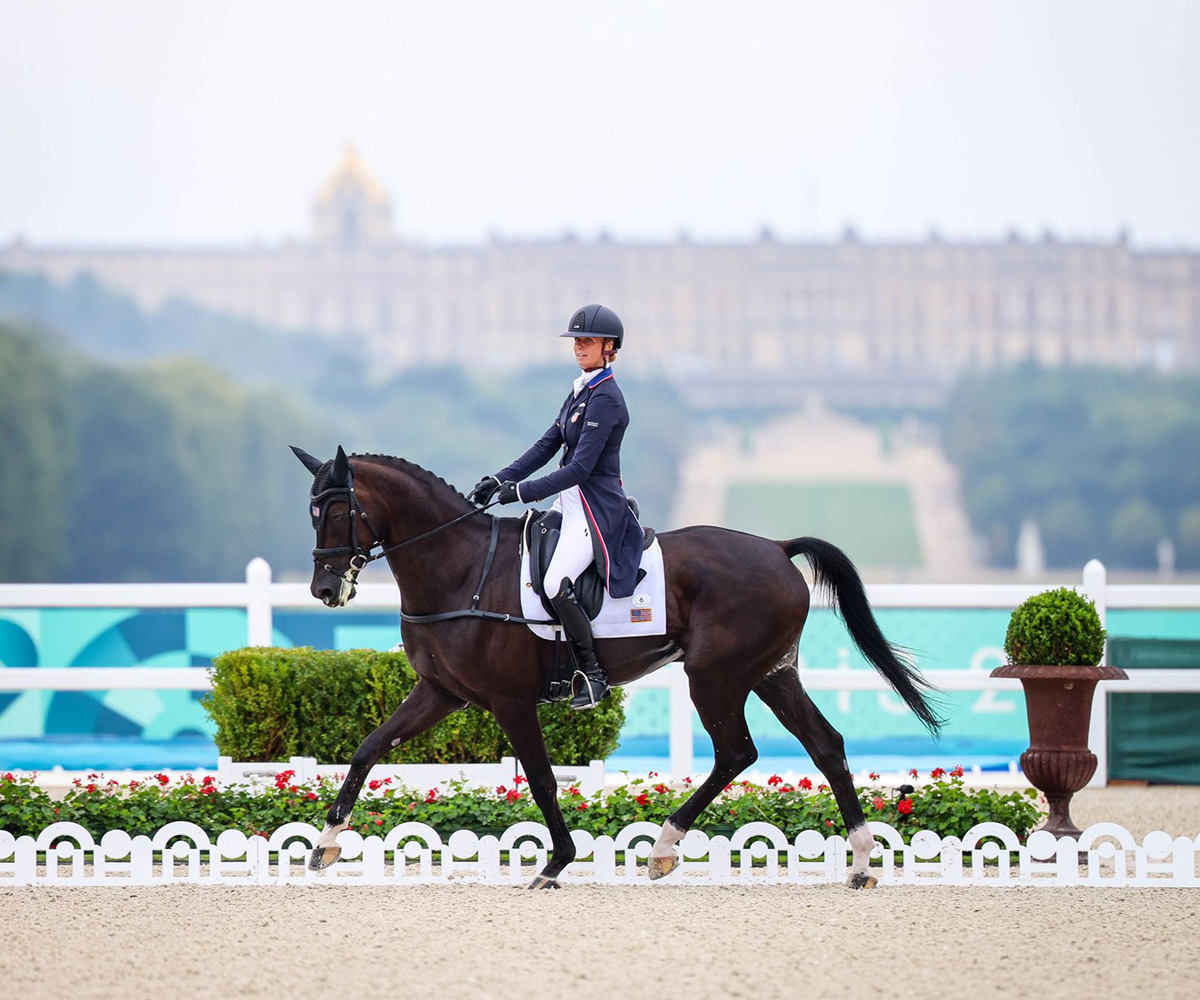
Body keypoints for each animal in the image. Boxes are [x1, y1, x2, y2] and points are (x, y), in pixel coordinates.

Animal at [290, 448, 936, 883]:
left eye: (339, 510)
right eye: (311, 512)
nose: (324, 588)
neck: (462, 567)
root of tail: (777, 549)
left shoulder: (509, 700)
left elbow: (543, 778)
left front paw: (555, 863)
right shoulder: (441, 692)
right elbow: (368, 748)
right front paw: (325, 842)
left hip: (715, 677)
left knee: (736, 753)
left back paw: (664, 847)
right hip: (772, 673)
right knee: (824, 745)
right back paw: (860, 860)